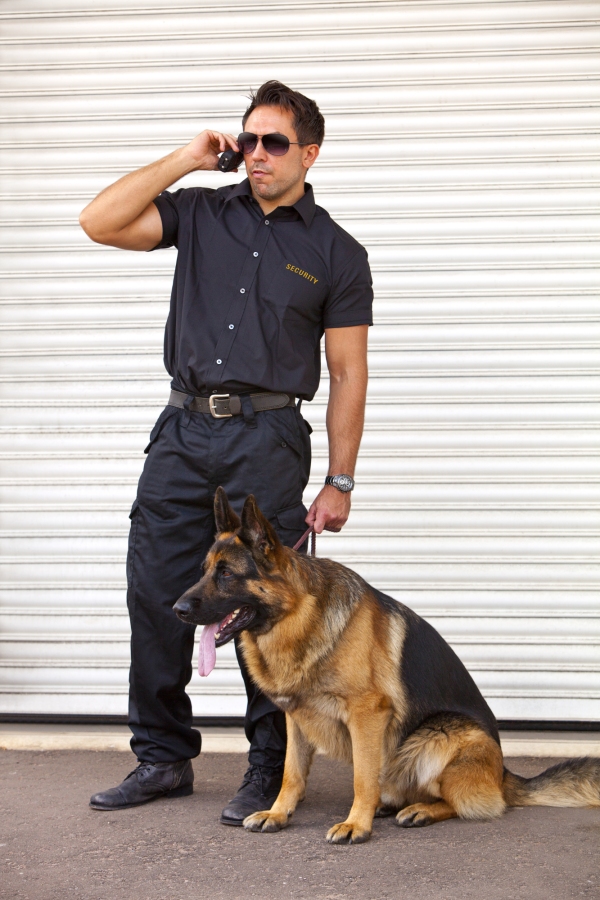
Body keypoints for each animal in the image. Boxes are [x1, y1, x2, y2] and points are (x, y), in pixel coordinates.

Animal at [173, 488, 600, 840]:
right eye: (203, 571)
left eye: (227, 574)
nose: (177, 609)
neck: (298, 617)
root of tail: (503, 775)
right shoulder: (297, 716)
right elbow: (291, 775)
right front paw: (278, 814)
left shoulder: (368, 714)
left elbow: (362, 777)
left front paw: (355, 824)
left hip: (439, 736)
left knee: (467, 802)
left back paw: (419, 810)